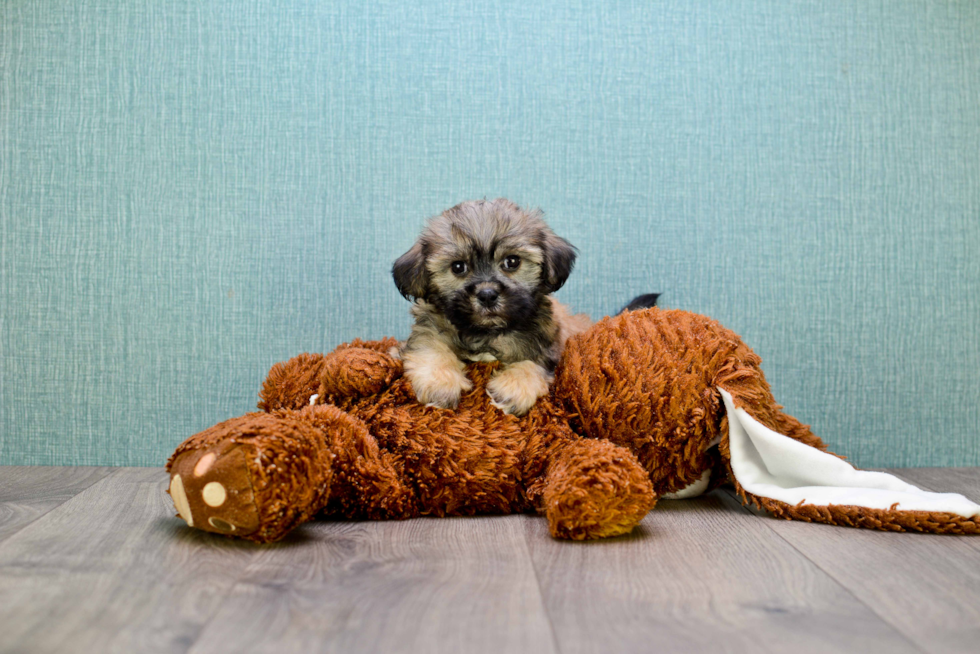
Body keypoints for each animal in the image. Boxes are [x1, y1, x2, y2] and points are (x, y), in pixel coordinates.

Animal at [390, 197, 588, 418]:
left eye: (512, 261)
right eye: (458, 267)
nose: (487, 295)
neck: (486, 333)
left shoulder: (546, 342)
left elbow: (533, 363)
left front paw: (514, 388)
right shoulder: (429, 328)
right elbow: (431, 348)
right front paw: (440, 384)